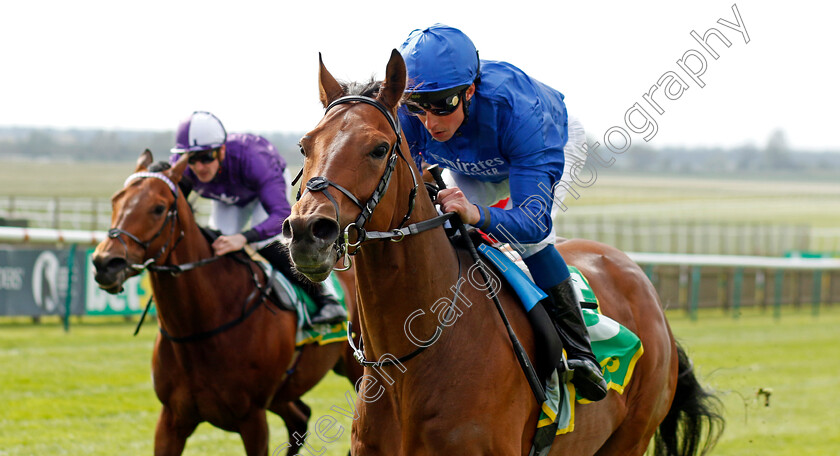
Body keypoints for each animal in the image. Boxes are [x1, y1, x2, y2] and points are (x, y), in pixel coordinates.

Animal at [93, 151, 362, 456]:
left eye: (158, 208)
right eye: (115, 200)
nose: (105, 263)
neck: (199, 329)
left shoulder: (253, 419)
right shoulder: (172, 419)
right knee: (300, 418)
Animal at [280, 48, 720, 454]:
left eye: (378, 148)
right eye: (304, 146)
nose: (307, 231)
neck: (408, 360)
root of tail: (642, 284)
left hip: (631, 438)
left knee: (537, 236)